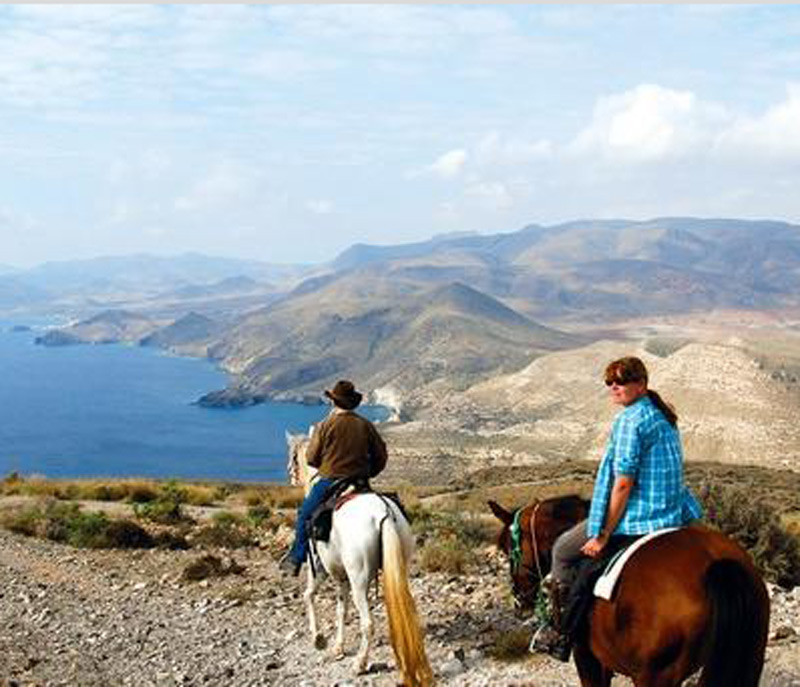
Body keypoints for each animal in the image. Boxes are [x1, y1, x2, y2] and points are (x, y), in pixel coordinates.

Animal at [282, 432, 428, 684]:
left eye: (294, 454)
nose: (290, 474)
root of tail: (383, 513)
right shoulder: (342, 577)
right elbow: (342, 609)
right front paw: (338, 646)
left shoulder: (320, 569)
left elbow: (309, 595)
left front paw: (319, 639)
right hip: (397, 569)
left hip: (358, 578)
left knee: (368, 623)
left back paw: (360, 663)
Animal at [488, 498, 768, 687]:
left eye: (507, 548)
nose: (519, 602)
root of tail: (716, 563)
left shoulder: (585, 655)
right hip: (749, 659)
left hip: (656, 676)